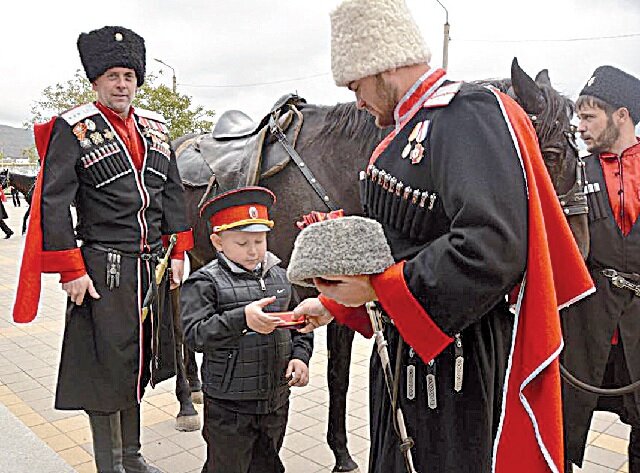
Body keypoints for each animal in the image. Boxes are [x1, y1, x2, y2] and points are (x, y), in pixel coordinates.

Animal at [172, 60, 588, 472]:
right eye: (551, 154)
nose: (581, 248)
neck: (335, 167)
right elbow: (335, 372)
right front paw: (341, 452)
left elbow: (337, 372)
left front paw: (341, 453)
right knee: (177, 329)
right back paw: (186, 403)